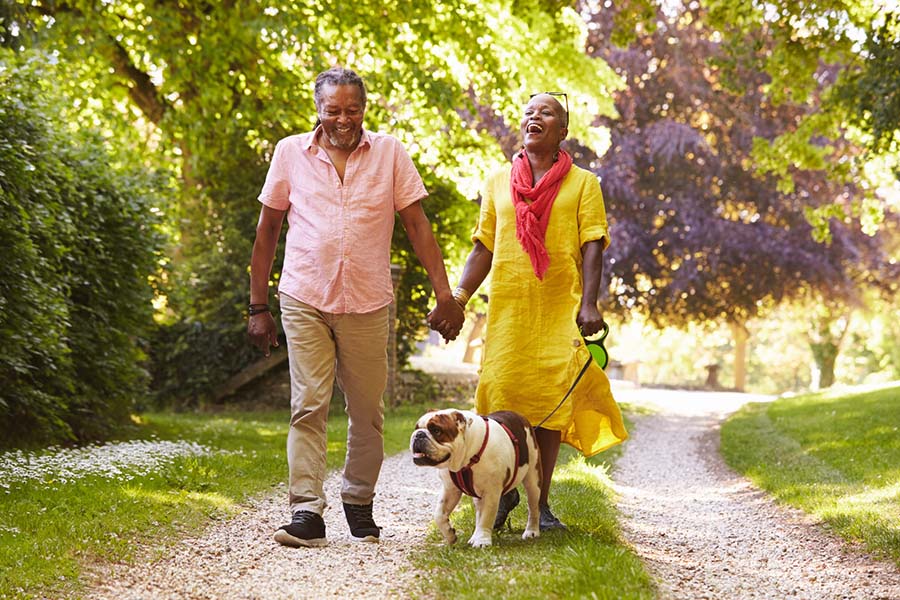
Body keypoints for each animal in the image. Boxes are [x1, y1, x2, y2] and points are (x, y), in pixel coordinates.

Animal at [410, 410, 540, 548]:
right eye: (416, 428)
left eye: (436, 430)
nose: (418, 434)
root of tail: (519, 416)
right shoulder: (450, 489)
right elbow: (439, 514)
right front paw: (450, 535)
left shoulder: (491, 492)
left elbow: (487, 517)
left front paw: (482, 540)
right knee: (479, 512)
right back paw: (474, 536)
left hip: (533, 478)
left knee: (533, 507)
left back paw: (531, 531)